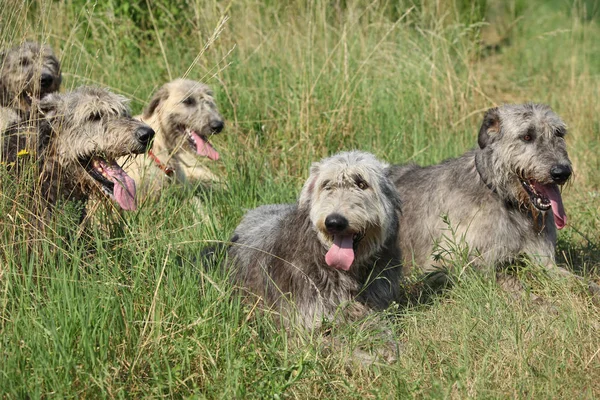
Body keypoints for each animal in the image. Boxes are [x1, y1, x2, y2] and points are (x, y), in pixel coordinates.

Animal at [386, 103, 596, 296]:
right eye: (527, 136)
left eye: (559, 133)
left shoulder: (544, 260)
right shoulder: (443, 264)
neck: (506, 201)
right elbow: (506, 279)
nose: (562, 172)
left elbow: (575, 279)